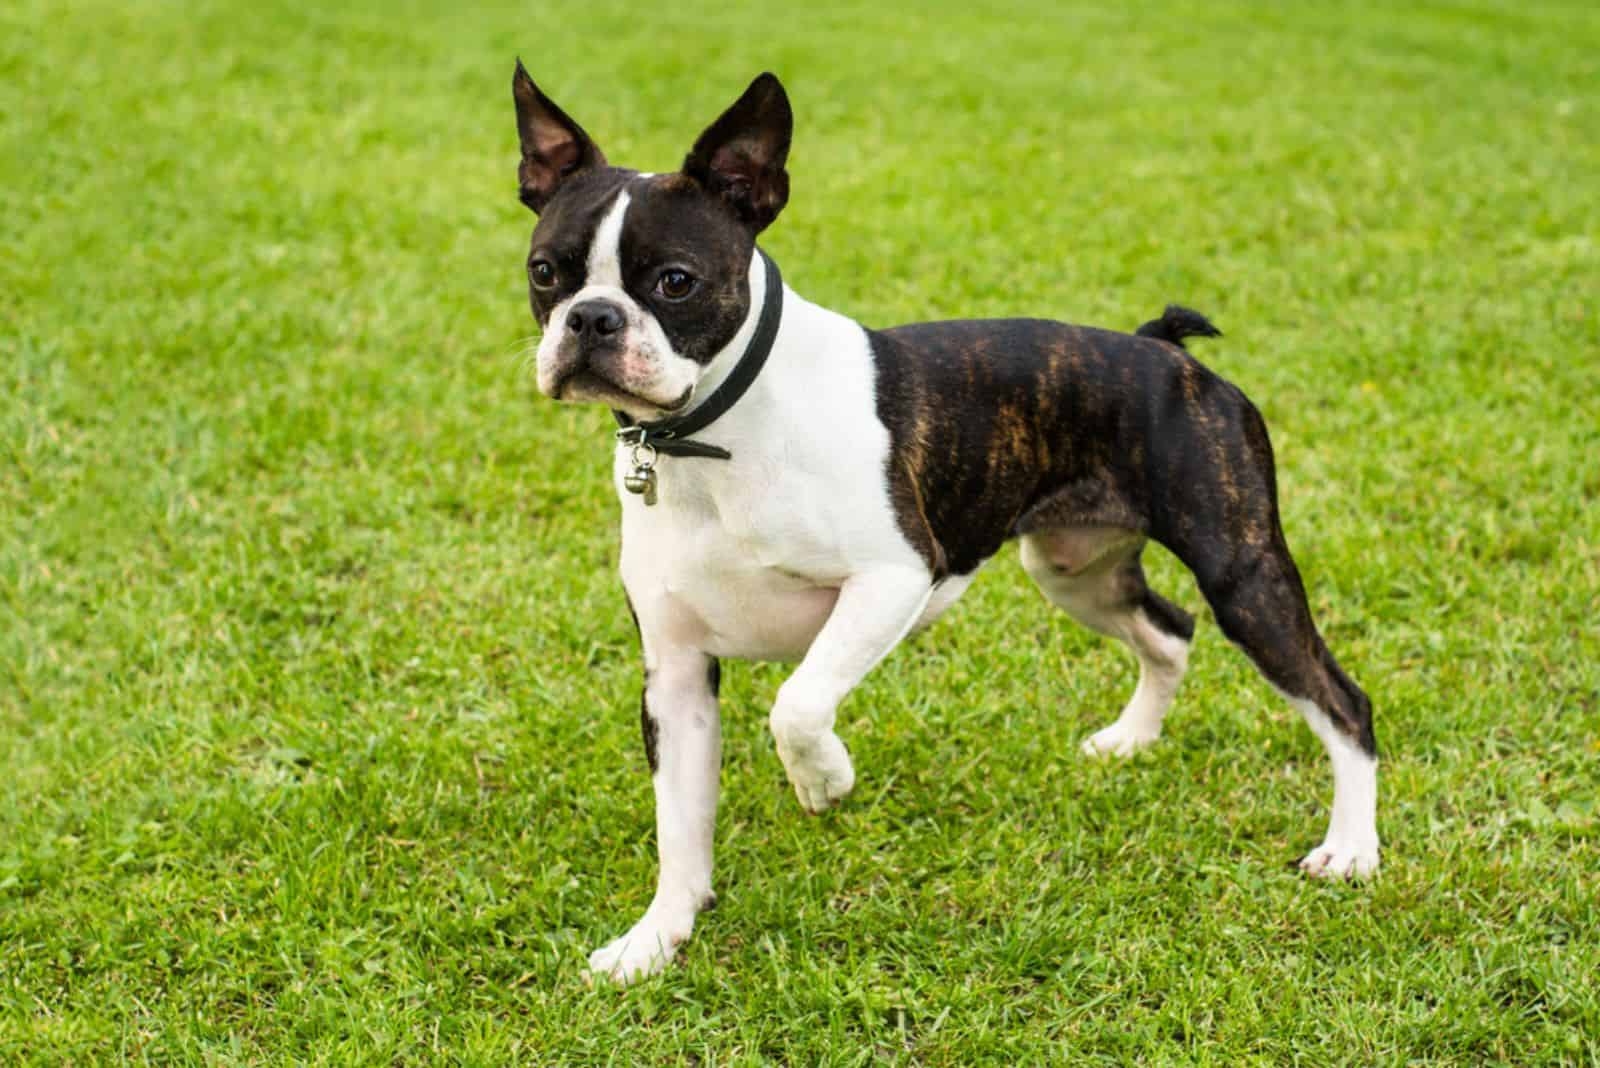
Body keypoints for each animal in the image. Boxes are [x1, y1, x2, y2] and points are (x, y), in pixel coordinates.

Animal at [508, 64, 1376, 984]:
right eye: (545, 272)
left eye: (675, 281)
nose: (591, 319)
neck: (712, 435)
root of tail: (1166, 349)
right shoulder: (675, 674)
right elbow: (680, 828)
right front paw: (656, 941)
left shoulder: (894, 576)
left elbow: (797, 702)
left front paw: (824, 780)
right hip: (1073, 569)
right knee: (1169, 631)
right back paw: (1132, 740)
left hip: (1242, 572)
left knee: (1341, 701)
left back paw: (1352, 851)